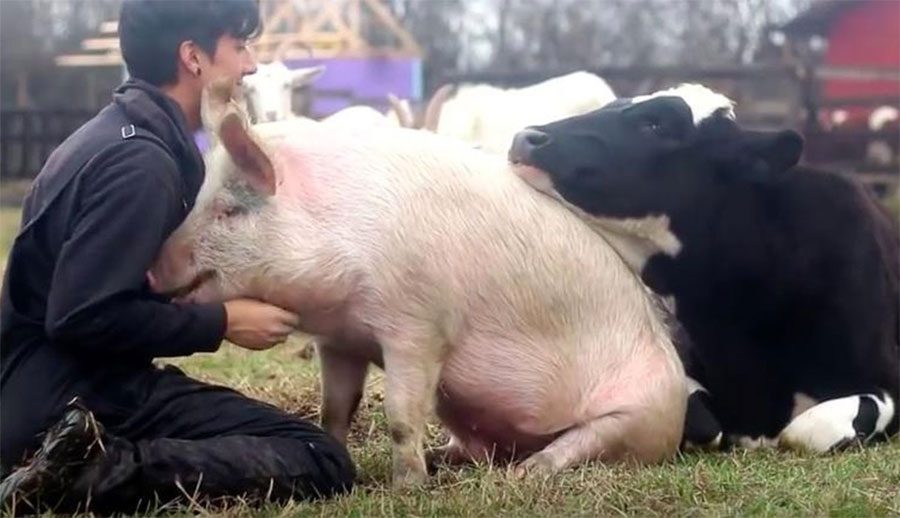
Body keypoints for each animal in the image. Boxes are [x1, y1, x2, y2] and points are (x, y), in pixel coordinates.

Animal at [150, 80, 687, 488]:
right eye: (198, 199)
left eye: (229, 211)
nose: (153, 269)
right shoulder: (338, 341)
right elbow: (334, 408)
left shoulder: (418, 328)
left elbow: (402, 416)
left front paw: (406, 488)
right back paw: (447, 460)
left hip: (634, 415)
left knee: (573, 448)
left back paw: (526, 473)